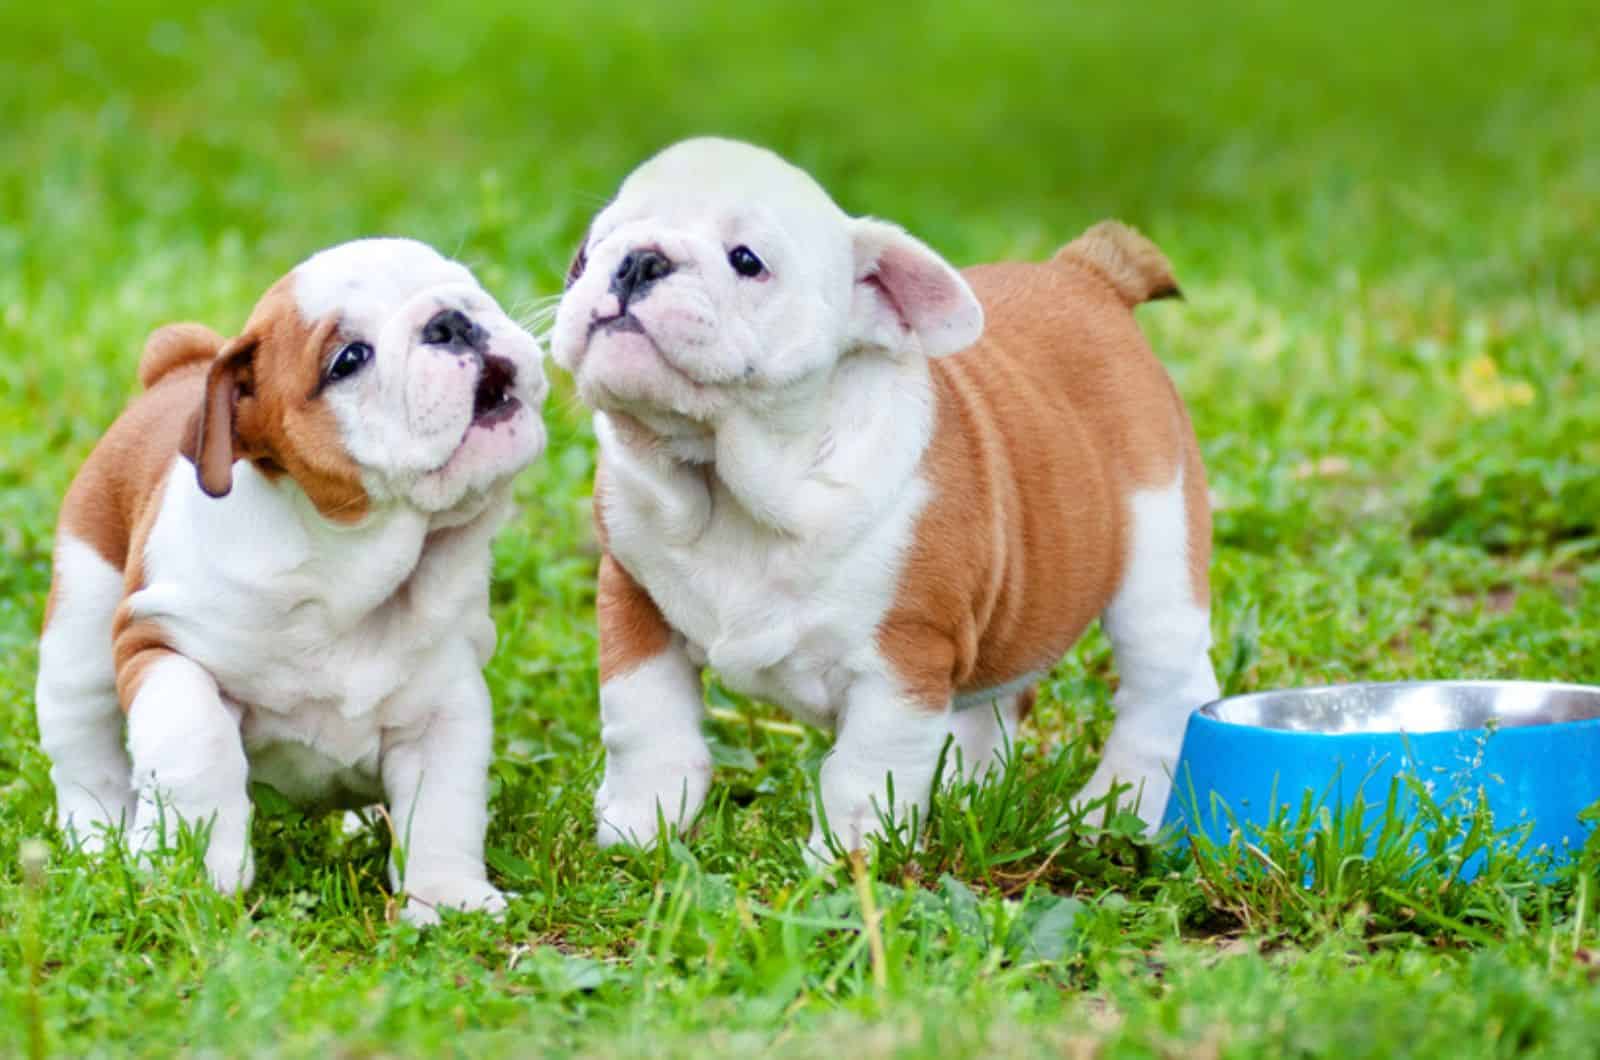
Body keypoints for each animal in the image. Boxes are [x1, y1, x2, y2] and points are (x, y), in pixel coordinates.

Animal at [36, 238, 550, 922]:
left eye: (466, 284)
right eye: (349, 359)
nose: (451, 320)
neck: (349, 569)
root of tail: (177, 369)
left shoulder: (444, 703)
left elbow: (443, 803)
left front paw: (445, 897)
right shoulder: (162, 645)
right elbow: (196, 743)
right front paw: (199, 875)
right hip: (80, 626)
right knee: (82, 746)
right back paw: (97, 839)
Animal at [556, 136, 1216, 864]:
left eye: (746, 261)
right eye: (589, 251)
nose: (638, 259)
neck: (727, 483)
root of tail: (1088, 273)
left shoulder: (902, 660)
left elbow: (863, 769)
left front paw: (845, 858)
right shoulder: (634, 602)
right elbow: (644, 722)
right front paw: (639, 828)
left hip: (1156, 554)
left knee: (1166, 688)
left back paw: (1118, 811)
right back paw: (972, 790)